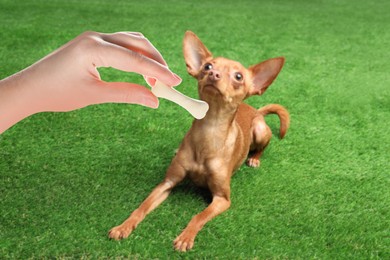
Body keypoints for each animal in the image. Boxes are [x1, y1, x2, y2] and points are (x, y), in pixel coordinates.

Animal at [109, 31, 290, 252]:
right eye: (208, 66)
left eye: (238, 76)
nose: (213, 75)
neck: (209, 130)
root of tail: (256, 110)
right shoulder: (167, 183)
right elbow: (141, 207)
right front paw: (124, 226)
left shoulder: (222, 199)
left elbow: (199, 216)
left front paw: (186, 237)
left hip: (260, 130)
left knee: (261, 146)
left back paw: (254, 158)